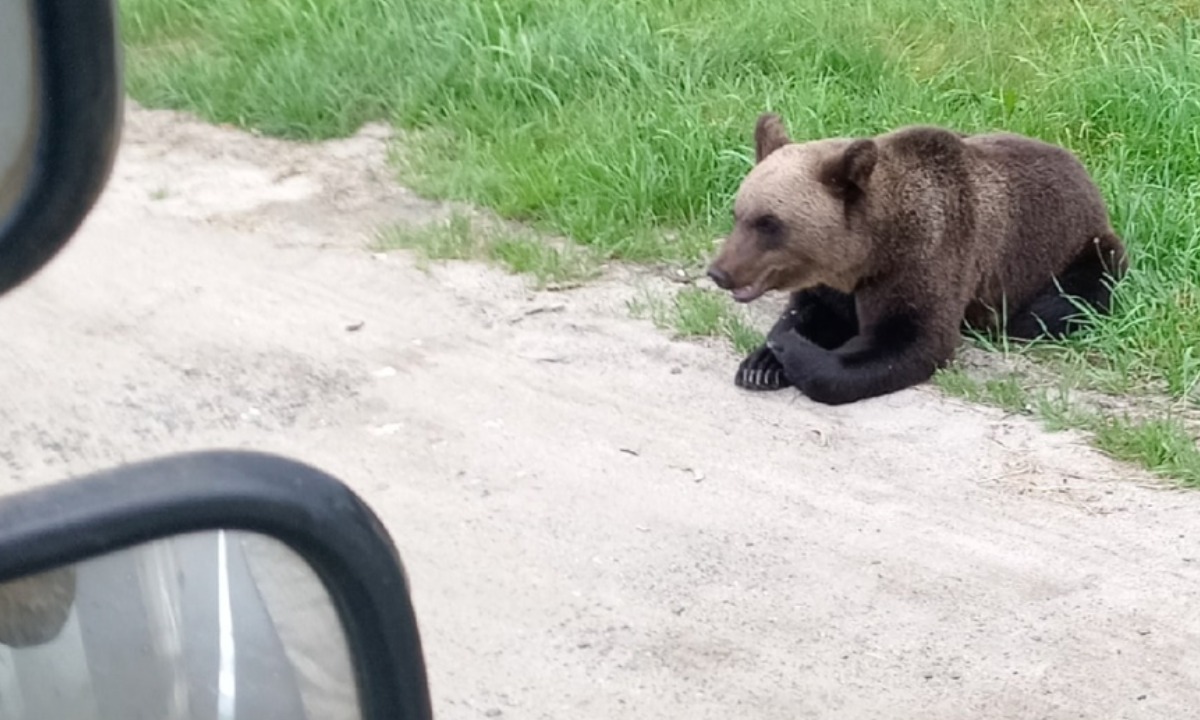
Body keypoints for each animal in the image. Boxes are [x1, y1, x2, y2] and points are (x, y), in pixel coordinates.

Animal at [700, 113, 1123, 405]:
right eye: (739, 214)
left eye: (769, 223)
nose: (720, 272)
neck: (870, 251)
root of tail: (1084, 173)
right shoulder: (839, 283)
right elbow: (815, 311)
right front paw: (761, 364)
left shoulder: (924, 259)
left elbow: (909, 341)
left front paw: (788, 350)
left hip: (1080, 250)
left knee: (1060, 304)